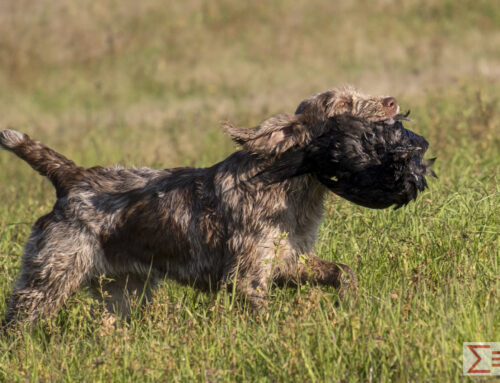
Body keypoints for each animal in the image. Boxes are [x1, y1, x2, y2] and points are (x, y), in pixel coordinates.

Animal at [0, 87, 430, 328]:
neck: (292, 184)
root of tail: (72, 176)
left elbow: (343, 272)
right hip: (48, 281)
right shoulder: (247, 278)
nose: (392, 102)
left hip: (123, 291)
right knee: (16, 325)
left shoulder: (288, 261)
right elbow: (263, 319)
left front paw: (350, 303)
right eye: (342, 102)